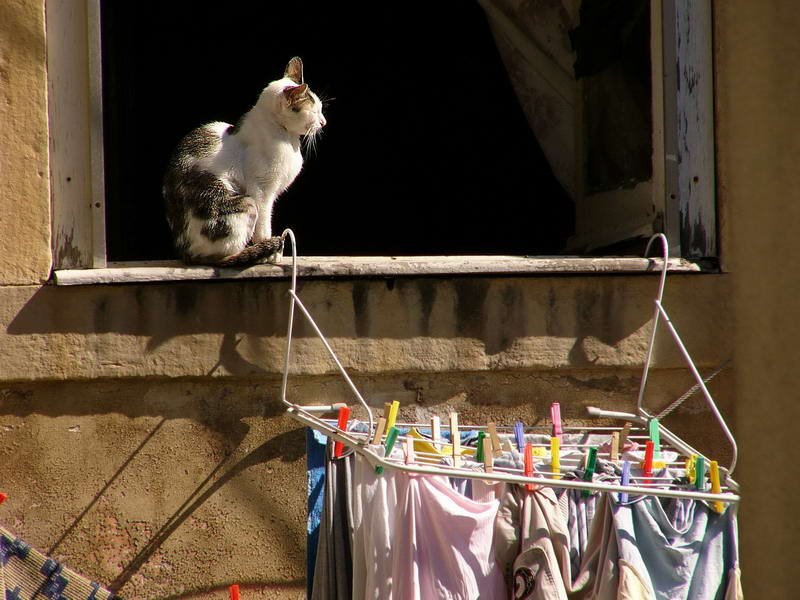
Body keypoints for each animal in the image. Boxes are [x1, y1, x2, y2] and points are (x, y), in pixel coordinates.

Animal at [162, 56, 324, 268]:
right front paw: (271, 251)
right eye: (314, 112)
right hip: (246, 203)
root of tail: (185, 254)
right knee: (221, 259)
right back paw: (254, 253)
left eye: (321, 109)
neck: (287, 138)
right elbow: (264, 225)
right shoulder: (262, 192)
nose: (323, 122)